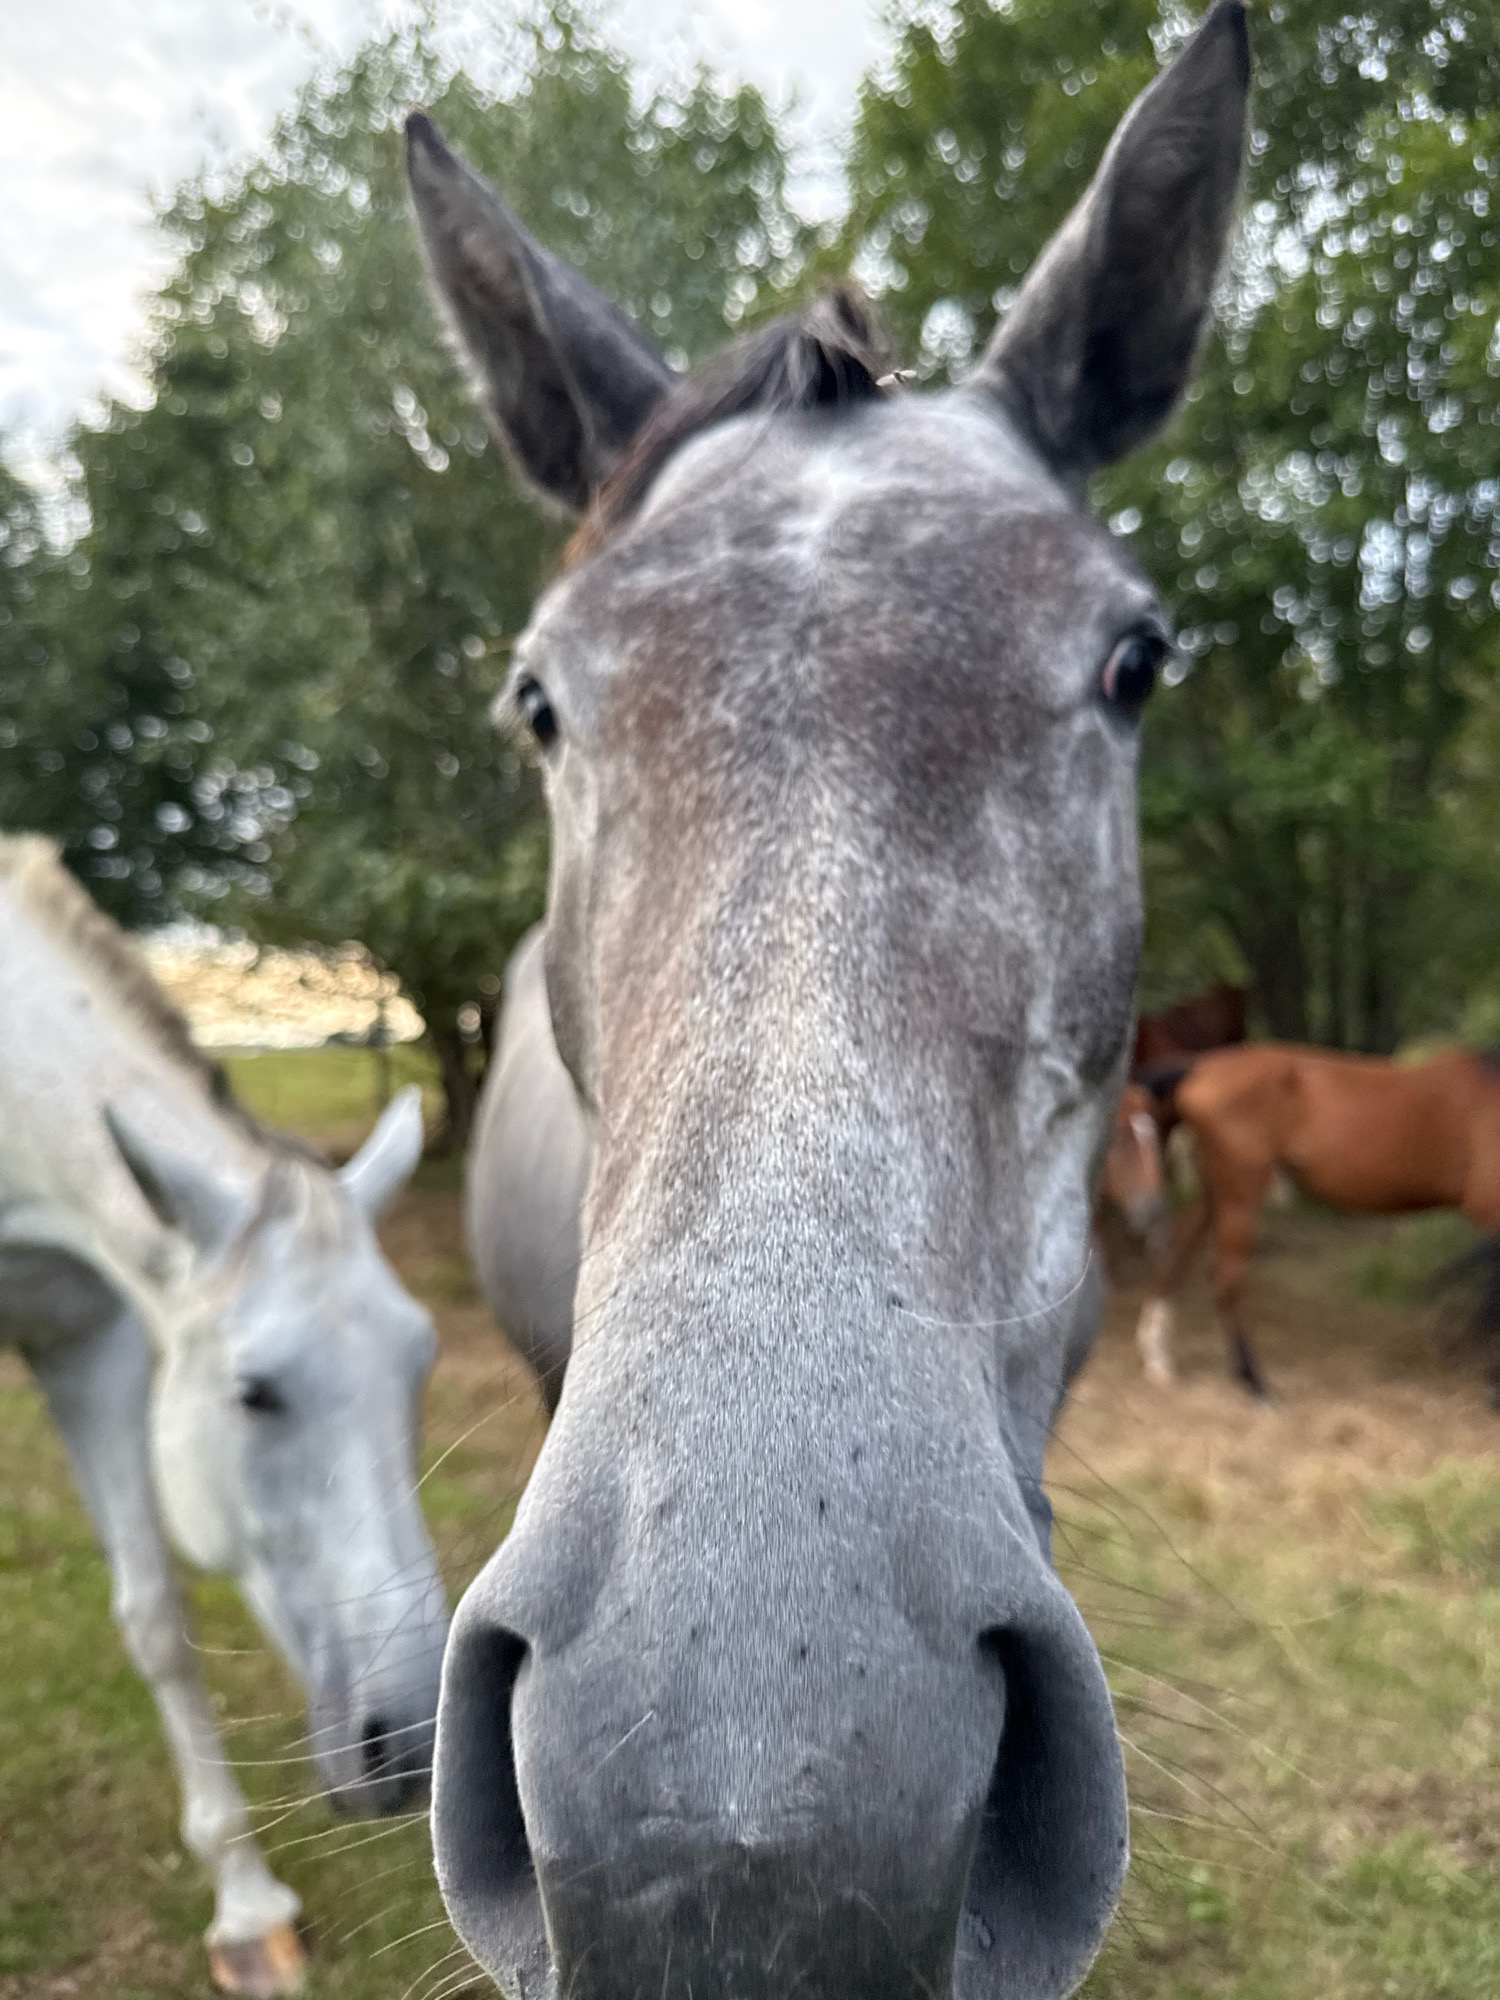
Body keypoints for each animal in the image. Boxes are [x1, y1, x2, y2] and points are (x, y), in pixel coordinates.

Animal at [0, 838, 448, 1997]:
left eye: (418, 1365)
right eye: (255, 1391)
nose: (415, 1738)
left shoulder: (90, 1342)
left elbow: (157, 1619)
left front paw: (246, 1909)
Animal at [1133, 1041, 1500, 1403]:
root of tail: (1202, 1067)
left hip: (1216, 1189)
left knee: (1176, 1252)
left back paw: (1157, 1354)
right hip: (1239, 1194)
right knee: (1226, 1280)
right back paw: (1253, 1380)